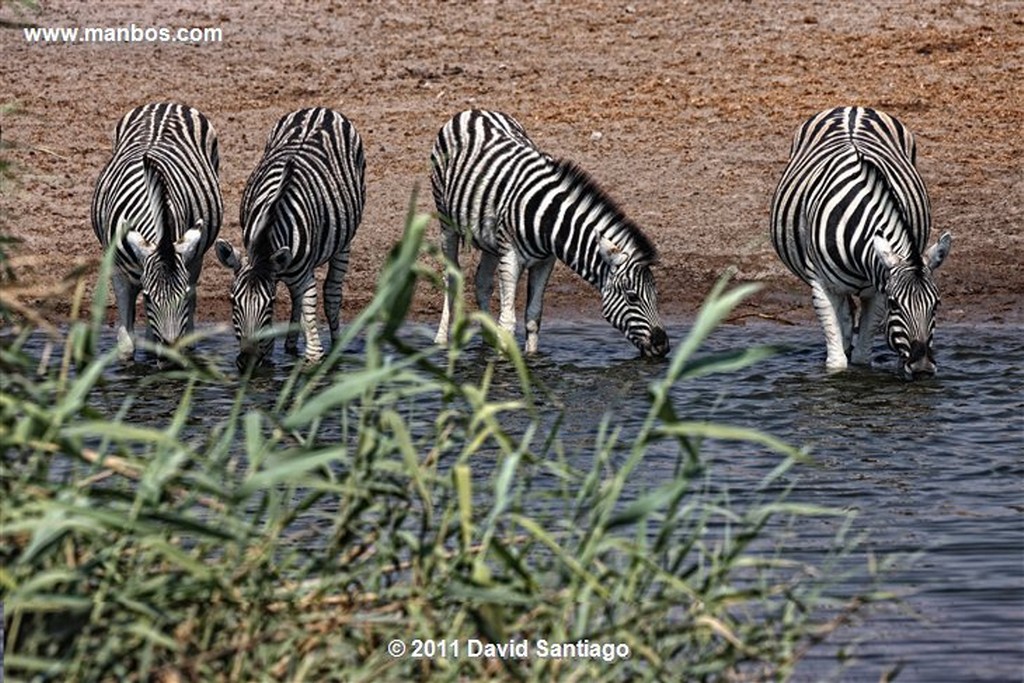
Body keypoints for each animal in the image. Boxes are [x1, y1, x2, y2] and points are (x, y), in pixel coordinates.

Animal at [91, 101, 224, 362]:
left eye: (181, 296)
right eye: (149, 297)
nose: (171, 352)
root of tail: (166, 104)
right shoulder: (118, 271)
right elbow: (127, 344)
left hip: (196, 253)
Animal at [214, 107, 366, 366]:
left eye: (271, 303)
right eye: (233, 301)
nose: (247, 361)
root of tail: (321, 108)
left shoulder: (302, 277)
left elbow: (311, 328)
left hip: (344, 242)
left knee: (332, 294)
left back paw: (336, 345)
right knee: (297, 297)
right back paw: (290, 344)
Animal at [428, 108, 667, 358]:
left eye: (656, 294)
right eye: (632, 297)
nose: (664, 346)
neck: (548, 219)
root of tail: (474, 111)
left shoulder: (546, 260)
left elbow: (533, 318)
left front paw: (531, 357)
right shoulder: (510, 257)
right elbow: (508, 321)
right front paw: (503, 360)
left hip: (490, 240)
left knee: (482, 282)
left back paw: (487, 342)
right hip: (446, 221)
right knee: (450, 277)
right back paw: (441, 340)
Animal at [770, 105, 954, 378]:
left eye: (936, 304)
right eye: (894, 304)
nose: (922, 369)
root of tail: (852, 108)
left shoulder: (877, 290)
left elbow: (862, 357)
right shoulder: (822, 287)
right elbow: (837, 359)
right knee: (845, 322)